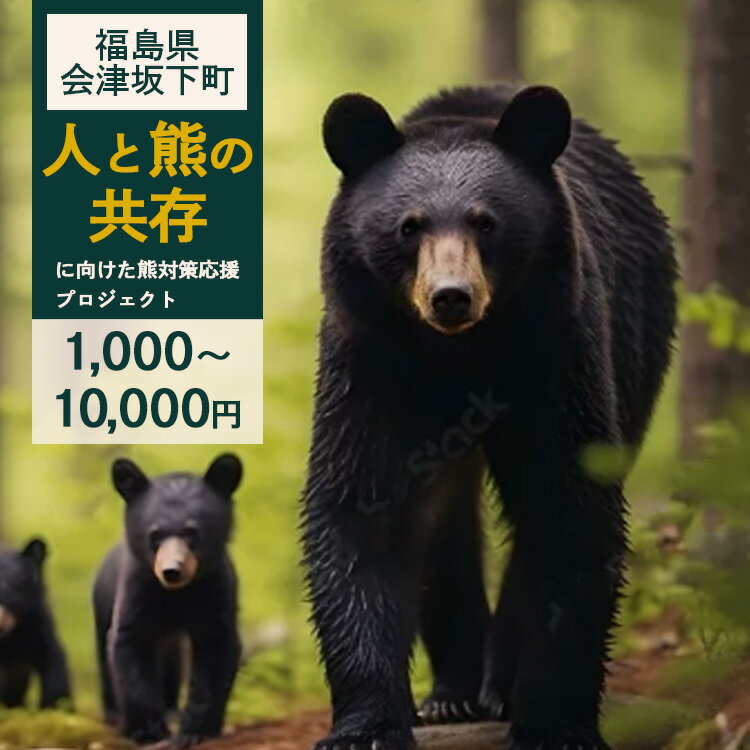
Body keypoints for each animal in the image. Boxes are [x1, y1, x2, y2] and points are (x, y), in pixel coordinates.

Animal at [93, 454, 243, 748]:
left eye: (192, 532)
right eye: (155, 534)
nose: (172, 570)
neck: (177, 594)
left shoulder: (215, 590)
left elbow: (216, 650)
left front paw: (195, 729)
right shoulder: (138, 590)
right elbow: (129, 644)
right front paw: (147, 730)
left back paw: (172, 709)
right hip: (102, 602)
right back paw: (114, 715)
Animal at [302, 84, 677, 750]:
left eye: (486, 222)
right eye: (408, 226)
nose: (451, 295)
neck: (459, 356)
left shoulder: (558, 352)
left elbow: (568, 504)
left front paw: (554, 722)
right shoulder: (368, 361)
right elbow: (362, 510)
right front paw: (366, 725)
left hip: (638, 335)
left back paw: (497, 682)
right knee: (445, 522)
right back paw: (453, 691)